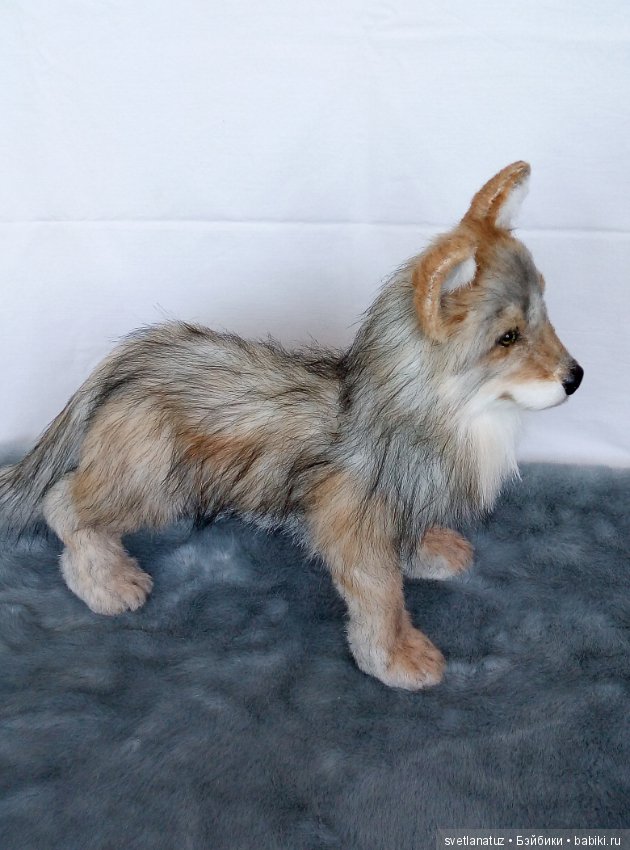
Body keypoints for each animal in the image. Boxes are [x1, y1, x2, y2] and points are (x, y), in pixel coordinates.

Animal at [0, 162, 583, 689]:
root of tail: (135, 359)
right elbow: (382, 599)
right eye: (507, 337)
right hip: (151, 485)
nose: (575, 377)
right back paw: (107, 582)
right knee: (62, 503)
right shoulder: (351, 531)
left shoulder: (402, 501)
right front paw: (397, 657)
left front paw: (429, 553)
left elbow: (409, 540)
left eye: (544, 311)